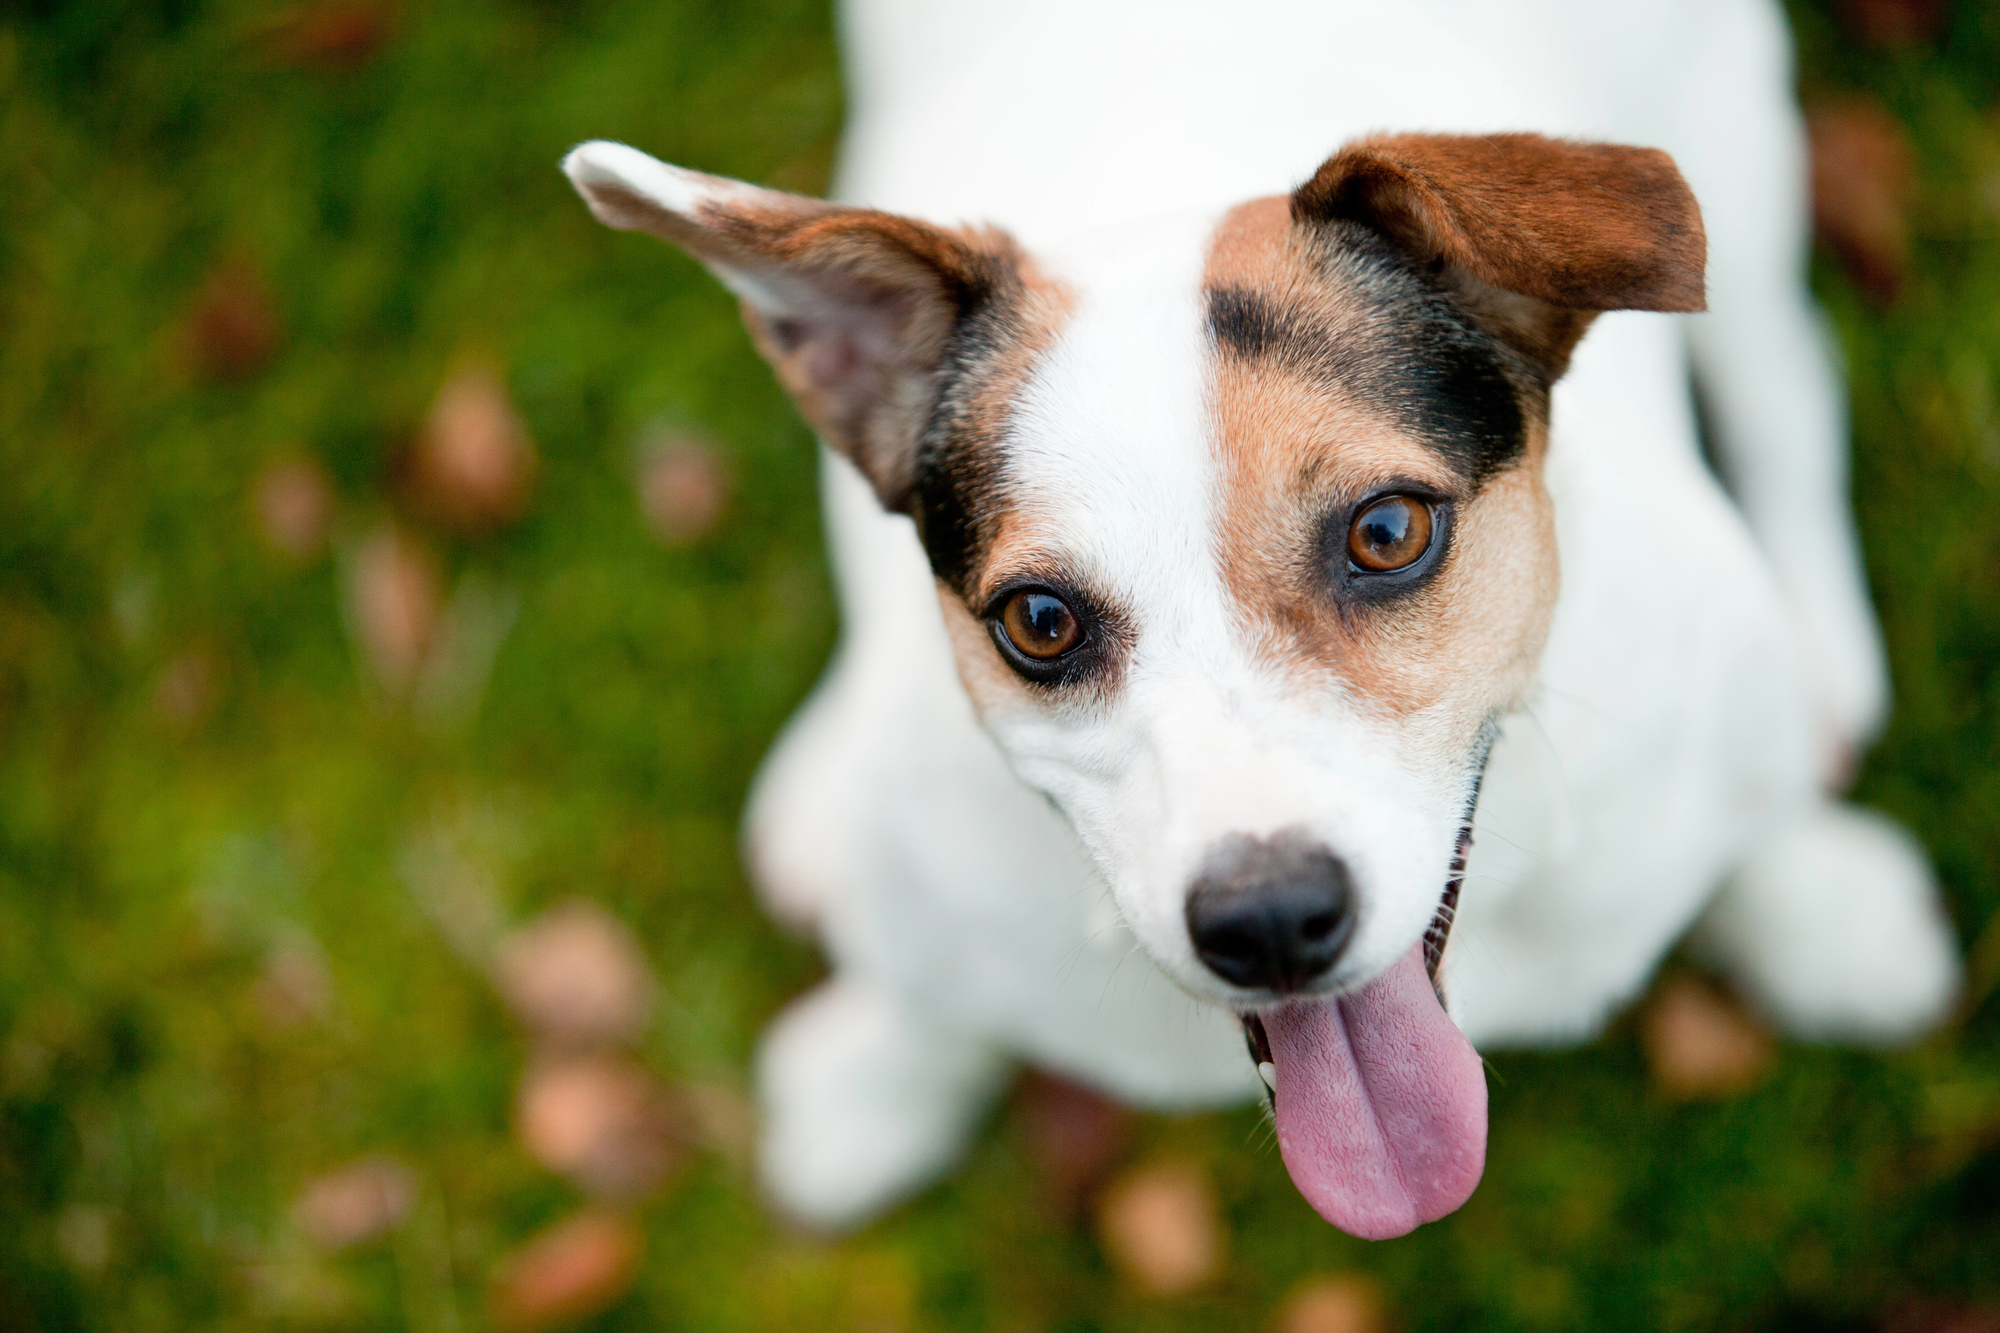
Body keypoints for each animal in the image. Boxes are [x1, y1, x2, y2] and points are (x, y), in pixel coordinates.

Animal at [568, 0, 1968, 1232]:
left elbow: (1755, 821)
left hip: (1739, 158)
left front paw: (1817, 917)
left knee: (1790, 391)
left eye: (1386, 533)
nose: (1271, 920)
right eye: (1038, 620)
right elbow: (925, 987)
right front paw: (881, 1076)